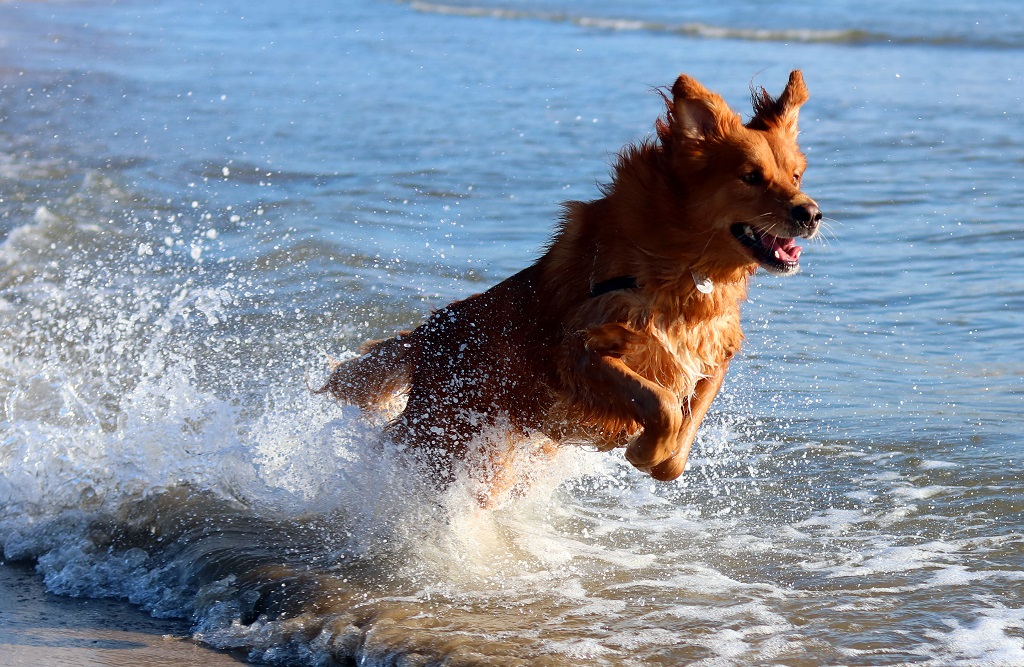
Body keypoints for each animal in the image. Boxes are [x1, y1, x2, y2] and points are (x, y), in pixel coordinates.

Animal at [323, 71, 819, 499]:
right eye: (750, 177)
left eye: (795, 175)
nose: (811, 213)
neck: (684, 267)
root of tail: (427, 332)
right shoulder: (578, 351)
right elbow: (660, 404)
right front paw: (643, 449)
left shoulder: (712, 352)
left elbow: (684, 426)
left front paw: (662, 457)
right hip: (445, 434)